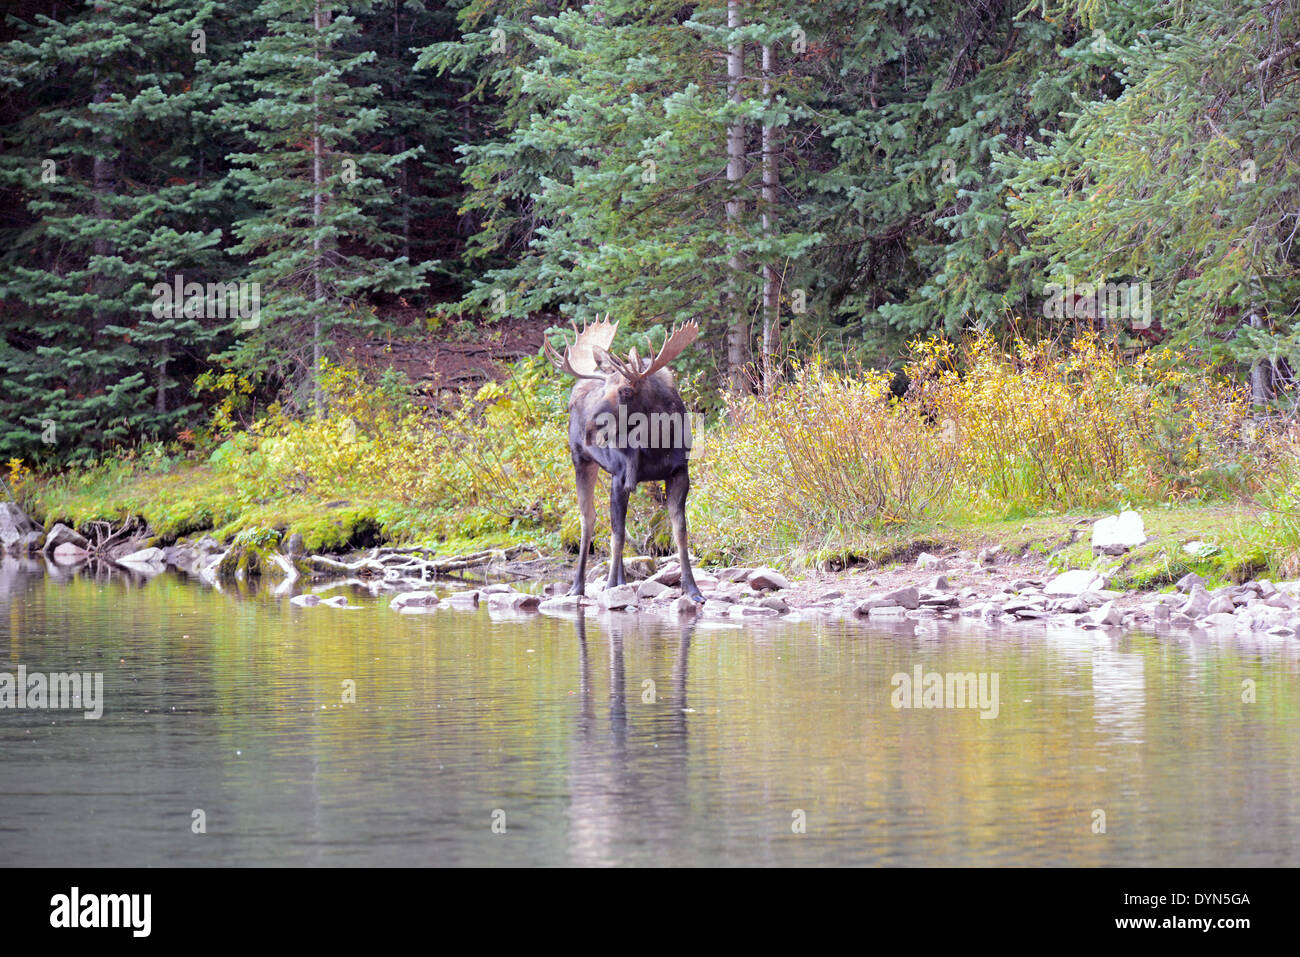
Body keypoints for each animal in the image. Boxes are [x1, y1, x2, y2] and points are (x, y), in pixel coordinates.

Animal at [544, 315, 705, 603]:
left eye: (627, 390)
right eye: (605, 387)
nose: (590, 428)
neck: (657, 444)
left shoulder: (679, 473)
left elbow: (680, 531)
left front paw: (692, 589)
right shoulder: (621, 475)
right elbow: (617, 535)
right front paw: (609, 587)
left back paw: (620, 580)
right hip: (581, 460)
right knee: (589, 519)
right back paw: (579, 586)